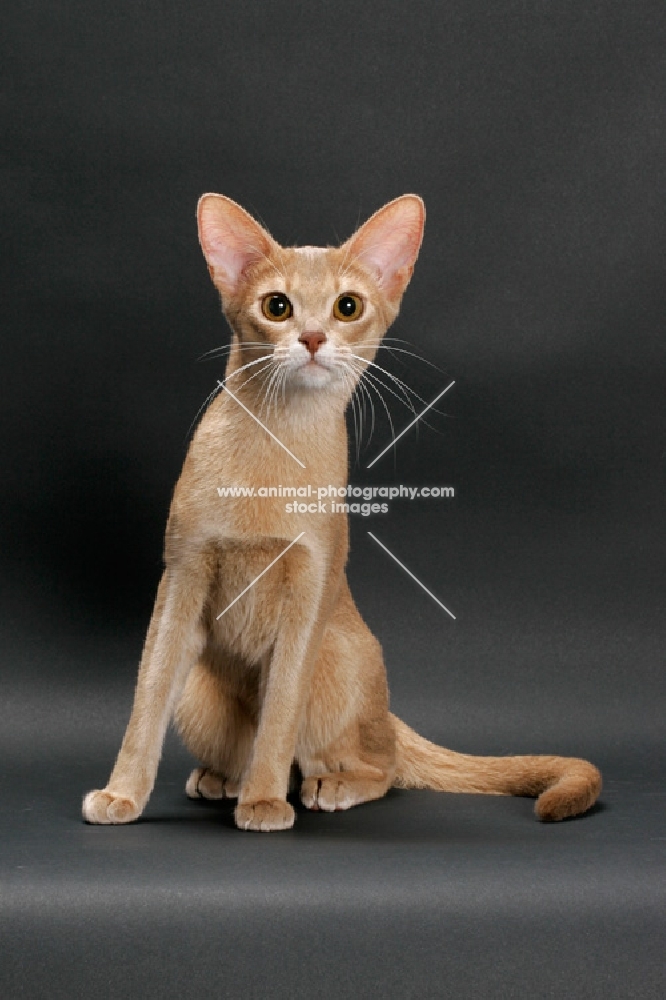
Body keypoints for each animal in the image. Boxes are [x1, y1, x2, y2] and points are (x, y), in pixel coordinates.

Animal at [80, 193, 600, 828]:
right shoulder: (182, 576)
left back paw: (323, 785)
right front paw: (122, 793)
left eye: (347, 306)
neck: (276, 444)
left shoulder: (312, 586)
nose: (311, 338)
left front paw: (264, 801)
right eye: (277, 306)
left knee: (380, 764)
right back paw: (222, 779)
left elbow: (280, 713)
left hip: (337, 655)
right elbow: (147, 700)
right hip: (200, 695)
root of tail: (389, 715)